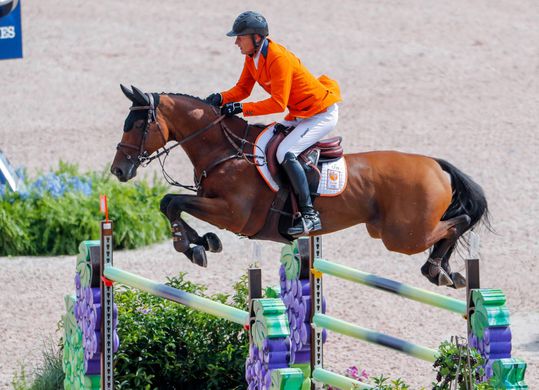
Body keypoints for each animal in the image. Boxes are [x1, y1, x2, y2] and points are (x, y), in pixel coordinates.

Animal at [109, 85, 490, 290]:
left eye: (137, 124)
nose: (118, 170)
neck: (226, 151)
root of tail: (435, 164)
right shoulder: (213, 204)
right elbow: (169, 202)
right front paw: (200, 242)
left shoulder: (234, 214)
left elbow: (174, 202)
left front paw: (193, 246)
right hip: (397, 232)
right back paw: (444, 271)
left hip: (402, 236)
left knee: (456, 223)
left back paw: (438, 269)